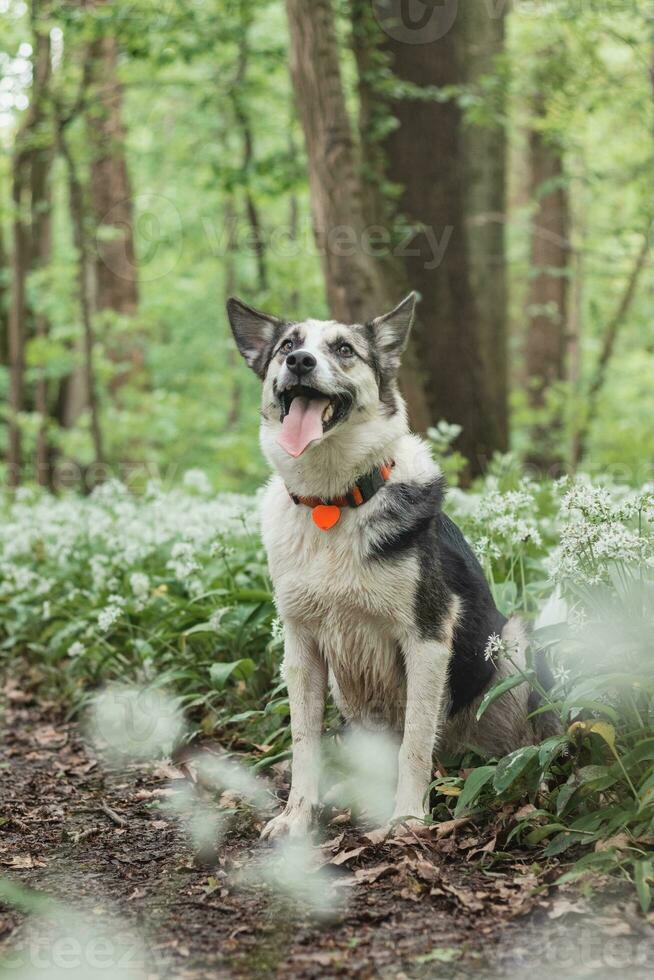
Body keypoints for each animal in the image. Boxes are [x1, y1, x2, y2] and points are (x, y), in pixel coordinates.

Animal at [228, 292, 556, 844]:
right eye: (288, 345)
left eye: (343, 349)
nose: (300, 362)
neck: (332, 501)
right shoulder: (302, 648)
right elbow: (303, 741)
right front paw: (298, 815)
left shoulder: (427, 636)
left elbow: (415, 742)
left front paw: (407, 818)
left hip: (515, 641)